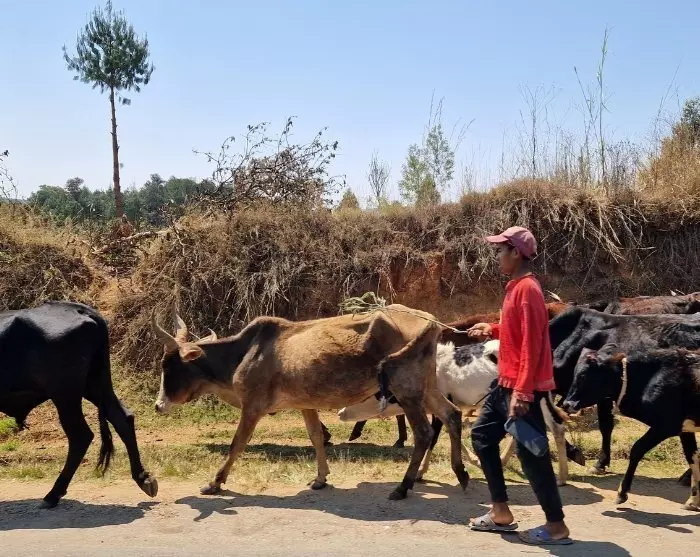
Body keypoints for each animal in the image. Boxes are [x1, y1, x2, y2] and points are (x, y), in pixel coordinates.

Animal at [0, 302, 158, 508]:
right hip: (95, 385)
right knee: (121, 418)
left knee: (81, 436)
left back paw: (53, 494)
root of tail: (77, 308)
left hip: (65, 394)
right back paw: (143, 478)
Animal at [152, 305, 468, 501]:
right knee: (451, 415)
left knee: (424, 433)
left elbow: (237, 444)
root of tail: (430, 321)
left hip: (407, 390)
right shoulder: (305, 404)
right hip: (426, 387)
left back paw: (403, 488)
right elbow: (316, 436)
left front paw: (215, 483)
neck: (244, 353)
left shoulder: (252, 406)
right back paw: (461, 473)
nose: (158, 405)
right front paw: (320, 479)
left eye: (169, 366)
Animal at [338, 340, 585, 486]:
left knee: (553, 429)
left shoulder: (440, 403)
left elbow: (436, 436)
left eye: (366, 394)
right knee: (537, 429)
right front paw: (472, 460)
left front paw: (420, 472)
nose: (340, 411)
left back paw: (562, 476)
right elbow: (449, 432)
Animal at [562, 344, 700, 510]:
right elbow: (693, 458)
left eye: (583, 375)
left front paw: (622, 493)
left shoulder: (665, 426)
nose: (567, 404)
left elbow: (636, 449)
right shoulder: (685, 429)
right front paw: (693, 501)